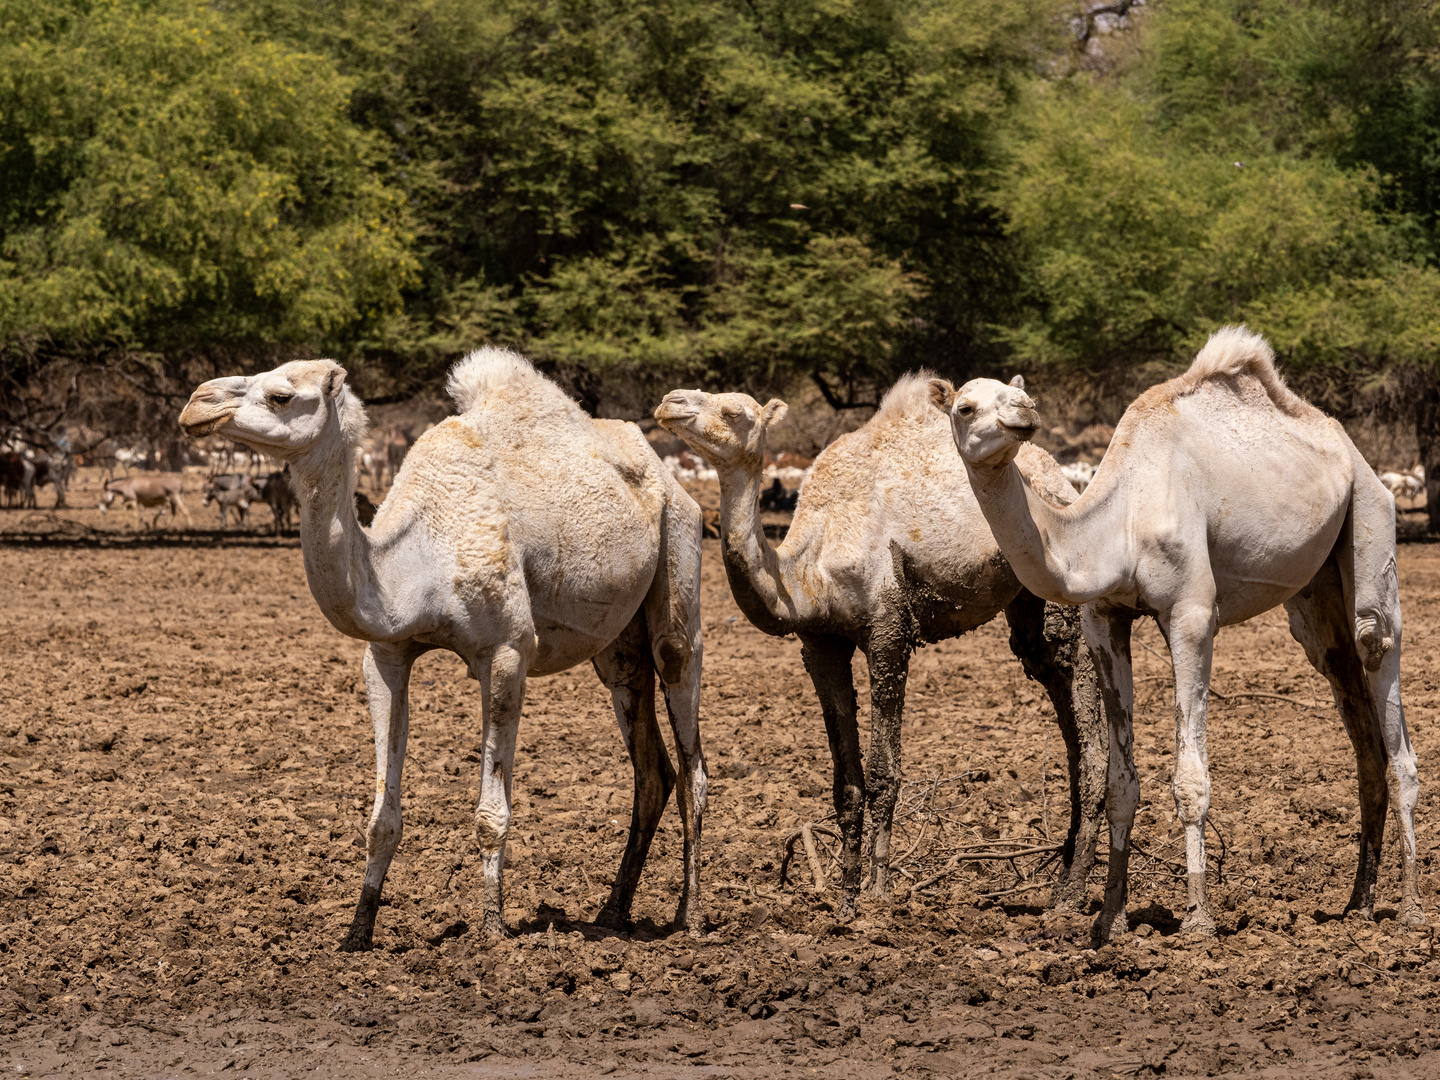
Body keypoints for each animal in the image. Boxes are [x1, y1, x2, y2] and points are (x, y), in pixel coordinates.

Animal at [182, 351, 711, 950]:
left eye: (281, 395)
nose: (197, 404)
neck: (414, 563)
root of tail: (670, 480)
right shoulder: (385, 654)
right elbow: (382, 820)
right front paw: (357, 933)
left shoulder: (507, 652)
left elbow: (490, 813)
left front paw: (492, 930)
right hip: (619, 643)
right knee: (650, 763)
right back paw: (611, 914)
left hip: (679, 558)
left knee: (687, 738)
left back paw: (690, 918)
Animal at [659, 377, 1105, 915]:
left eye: (734, 411)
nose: (670, 403)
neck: (808, 571)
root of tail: (1061, 480)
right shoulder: (820, 644)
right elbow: (846, 783)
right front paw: (846, 897)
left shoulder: (888, 632)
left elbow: (882, 772)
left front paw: (878, 891)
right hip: (1025, 601)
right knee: (1050, 676)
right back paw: (1060, 879)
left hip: (1065, 591)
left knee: (1080, 690)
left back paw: (1073, 892)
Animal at [933, 328, 1416, 938]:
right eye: (964, 407)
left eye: (1016, 393)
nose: (1024, 412)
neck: (1119, 522)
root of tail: (1351, 450)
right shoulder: (1104, 619)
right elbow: (1120, 782)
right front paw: (1109, 919)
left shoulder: (1190, 613)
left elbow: (1191, 779)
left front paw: (1198, 918)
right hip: (1318, 591)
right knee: (1348, 693)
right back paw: (1358, 904)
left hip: (1372, 515)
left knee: (1379, 653)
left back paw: (1411, 908)